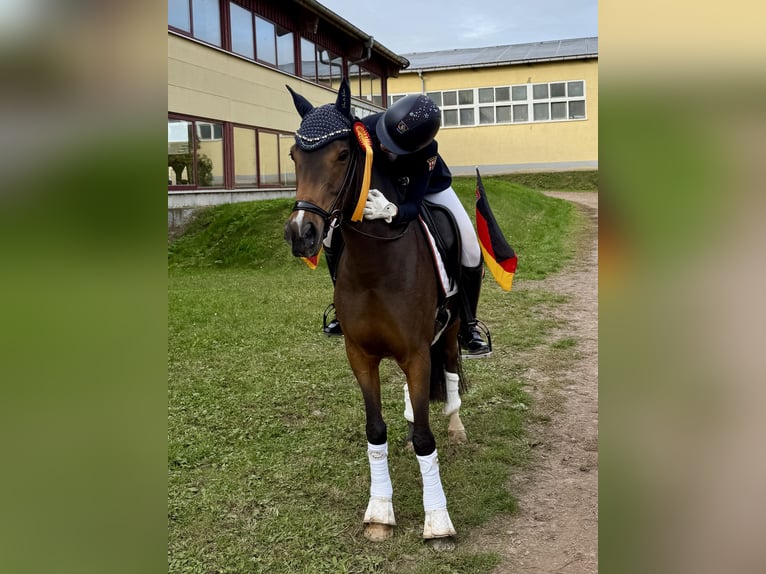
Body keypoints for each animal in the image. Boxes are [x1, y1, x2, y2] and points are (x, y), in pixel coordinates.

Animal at [283, 79, 467, 545]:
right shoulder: (360, 355)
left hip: (452, 326)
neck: (375, 265)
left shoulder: (417, 353)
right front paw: (380, 510)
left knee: (450, 365)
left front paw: (437, 520)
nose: (301, 233)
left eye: (342, 154)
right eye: (294, 155)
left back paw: (456, 426)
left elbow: (425, 440)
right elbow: (375, 430)